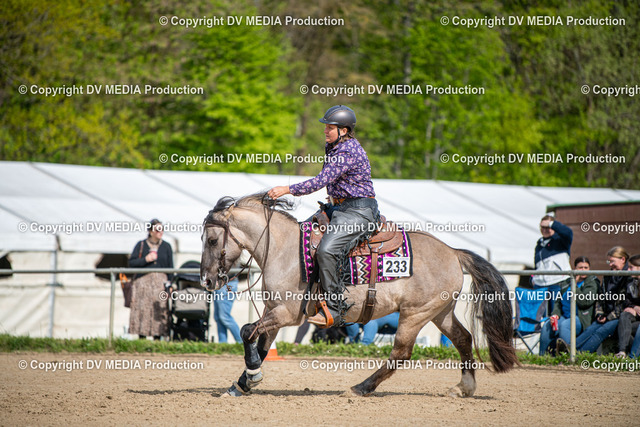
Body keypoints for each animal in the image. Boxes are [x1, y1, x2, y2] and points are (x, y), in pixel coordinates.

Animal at [200, 192, 518, 397]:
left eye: (213, 240)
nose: (206, 280)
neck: (282, 249)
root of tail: (453, 252)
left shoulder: (288, 314)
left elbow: (246, 331)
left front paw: (252, 374)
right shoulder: (274, 312)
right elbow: (262, 343)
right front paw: (242, 384)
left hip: (415, 314)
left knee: (401, 353)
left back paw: (360, 388)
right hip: (440, 312)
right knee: (463, 339)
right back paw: (464, 388)